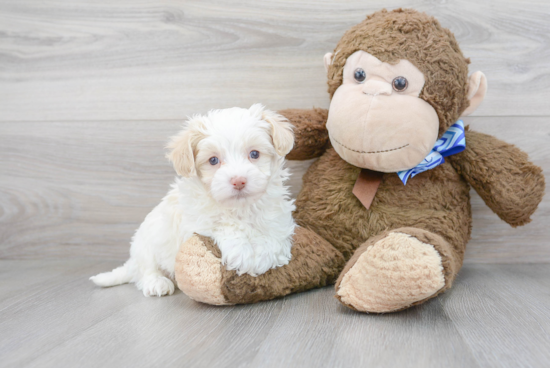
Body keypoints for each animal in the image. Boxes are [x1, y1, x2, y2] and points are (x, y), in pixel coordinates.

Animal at [90, 103, 298, 296]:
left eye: (254, 154)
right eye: (213, 160)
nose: (239, 181)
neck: (240, 209)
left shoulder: (277, 214)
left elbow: (274, 233)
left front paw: (266, 254)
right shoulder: (196, 222)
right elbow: (224, 226)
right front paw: (244, 254)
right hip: (146, 242)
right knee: (145, 270)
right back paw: (157, 282)